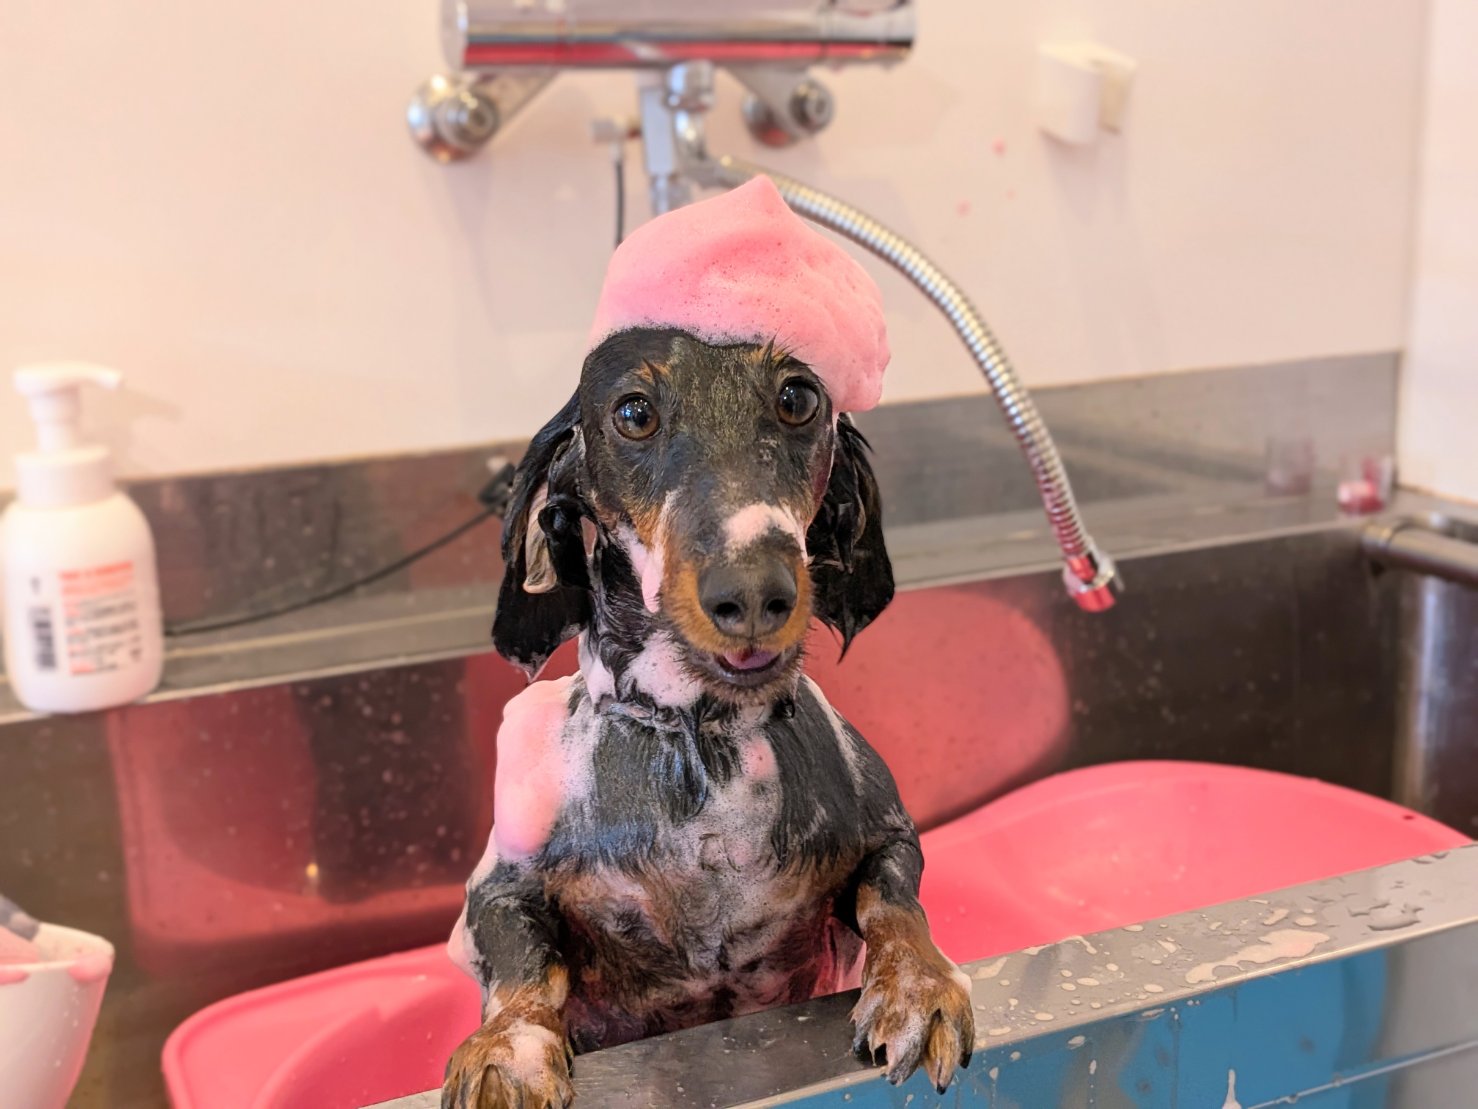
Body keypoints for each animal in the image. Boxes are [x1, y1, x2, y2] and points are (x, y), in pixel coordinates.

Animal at [443, 328, 974, 1108]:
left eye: (797, 399)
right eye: (633, 412)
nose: (752, 592)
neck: (702, 736)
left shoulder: (891, 835)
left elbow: (895, 902)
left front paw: (921, 986)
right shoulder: (498, 887)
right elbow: (524, 965)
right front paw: (507, 1050)